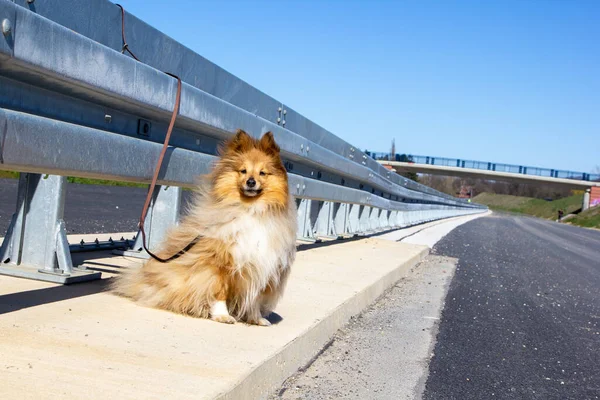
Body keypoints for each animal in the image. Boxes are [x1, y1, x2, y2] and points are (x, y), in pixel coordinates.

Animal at [113, 130, 298, 326]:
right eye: (243, 171)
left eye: (262, 173)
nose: (250, 182)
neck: (251, 209)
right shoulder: (218, 264)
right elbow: (220, 292)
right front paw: (222, 315)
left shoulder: (262, 265)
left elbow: (254, 297)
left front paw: (256, 318)